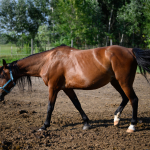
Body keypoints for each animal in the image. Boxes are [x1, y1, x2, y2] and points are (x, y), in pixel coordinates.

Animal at [0, 44, 150, 132]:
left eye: (2, 75)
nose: (0, 95)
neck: (48, 61)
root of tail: (130, 50)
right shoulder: (66, 88)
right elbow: (77, 104)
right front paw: (86, 123)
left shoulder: (53, 87)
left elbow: (50, 107)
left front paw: (44, 126)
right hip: (116, 82)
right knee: (125, 98)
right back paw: (116, 119)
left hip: (124, 82)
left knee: (134, 99)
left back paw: (131, 126)